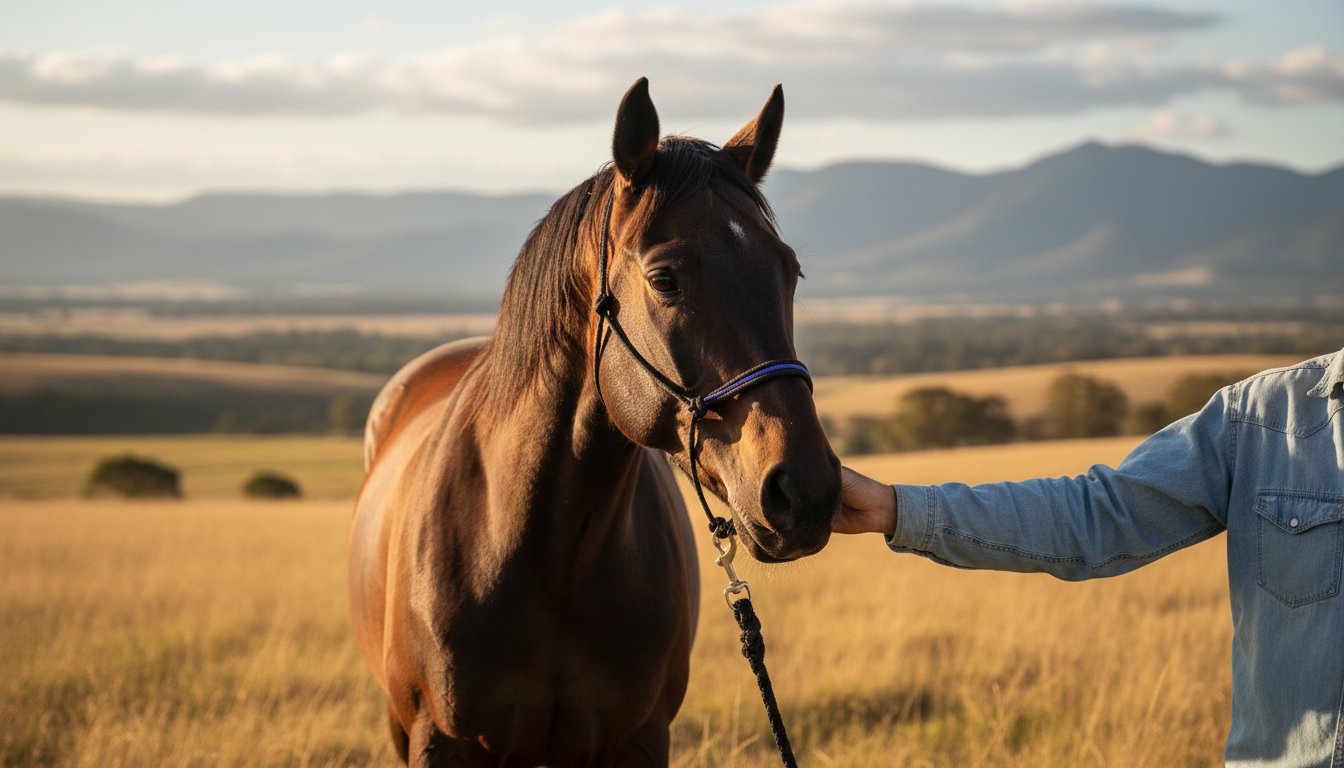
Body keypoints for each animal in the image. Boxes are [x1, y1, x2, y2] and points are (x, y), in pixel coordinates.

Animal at [348, 78, 841, 767]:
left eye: (789, 271)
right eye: (665, 279)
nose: (806, 491)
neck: (549, 554)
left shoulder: (637, 738)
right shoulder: (438, 740)